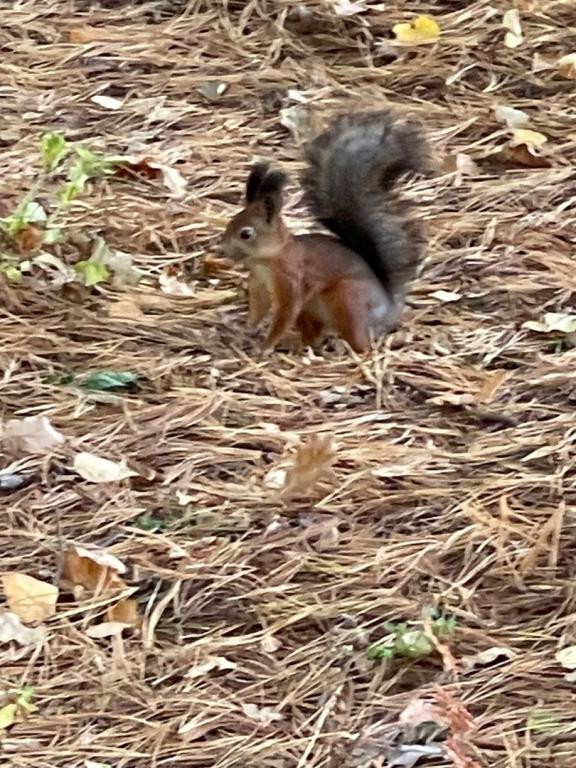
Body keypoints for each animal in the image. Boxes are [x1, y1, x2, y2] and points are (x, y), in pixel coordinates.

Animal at [223, 109, 430, 352]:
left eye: (246, 234)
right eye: (231, 221)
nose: (222, 248)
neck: (267, 260)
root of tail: (387, 308)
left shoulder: (291, 279)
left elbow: (284, 315)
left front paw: (264, 347)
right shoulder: (259, 285)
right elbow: (258, 310)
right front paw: (246, 331)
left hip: (348, 300)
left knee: (361, 342)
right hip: (312, 311)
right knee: (314, 335)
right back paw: (303, 345)